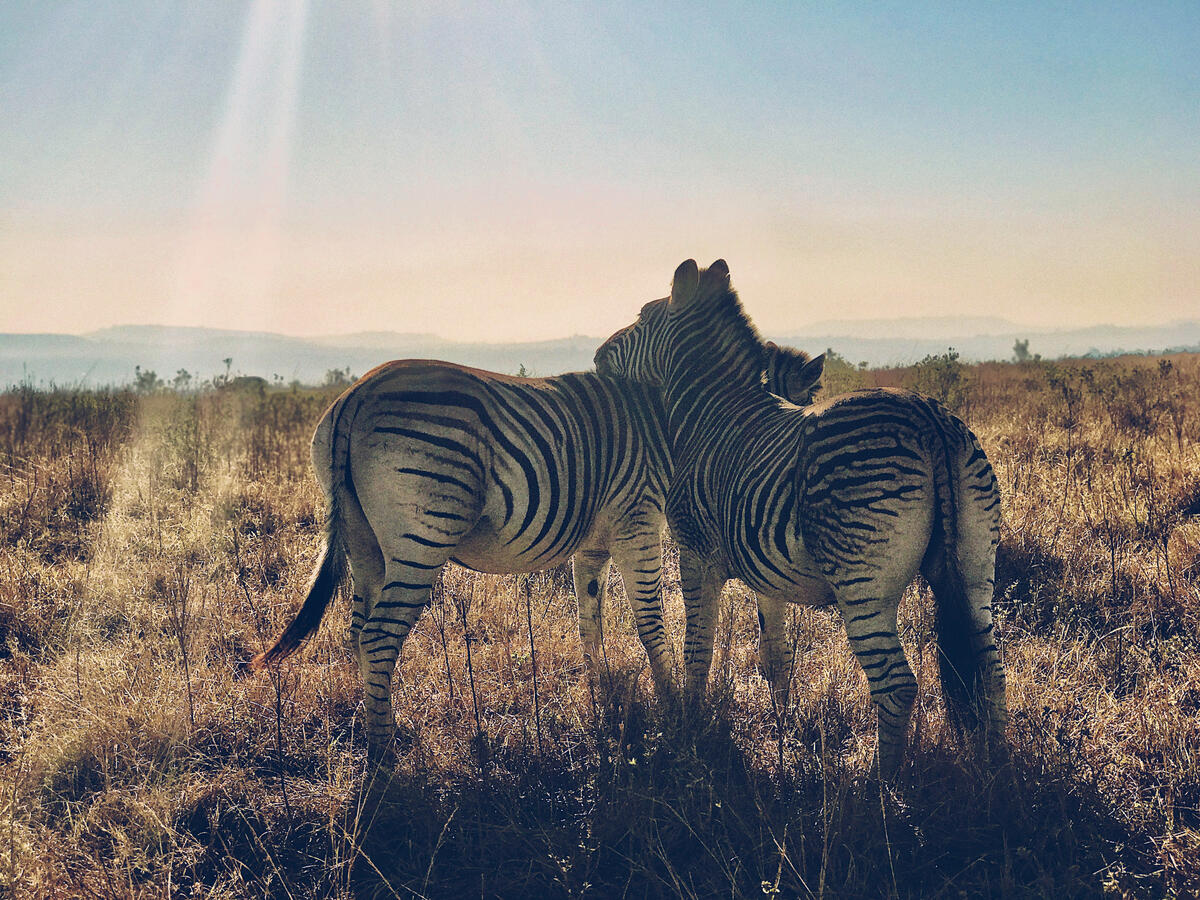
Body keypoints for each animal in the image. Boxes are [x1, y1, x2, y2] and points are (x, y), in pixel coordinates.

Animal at [252, 351, 823, 757]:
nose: (786, 714)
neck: (673, 424)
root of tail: (355, 395)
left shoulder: (593, 542)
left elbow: (589, 617)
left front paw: (602, 696)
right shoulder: (638, 521)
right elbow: (651, 622)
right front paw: (673, 708)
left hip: (363, 543)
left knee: (357, 632)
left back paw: (374, 724)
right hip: (422, 535)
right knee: (378, 635)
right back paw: (385, 754)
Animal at [594, 259, 1007, 778]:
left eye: (641, 318)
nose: (597, 356)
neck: (707, 415)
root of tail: (925, 416)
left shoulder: (695, 553)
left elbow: (697, 647)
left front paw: (693, 726)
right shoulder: (768, 574)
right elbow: (776, 654)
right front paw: (782, 732)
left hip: (863, 581)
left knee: (896, 686)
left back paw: (882, 785)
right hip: (976, 566)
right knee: (990, 670)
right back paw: (999, 771)